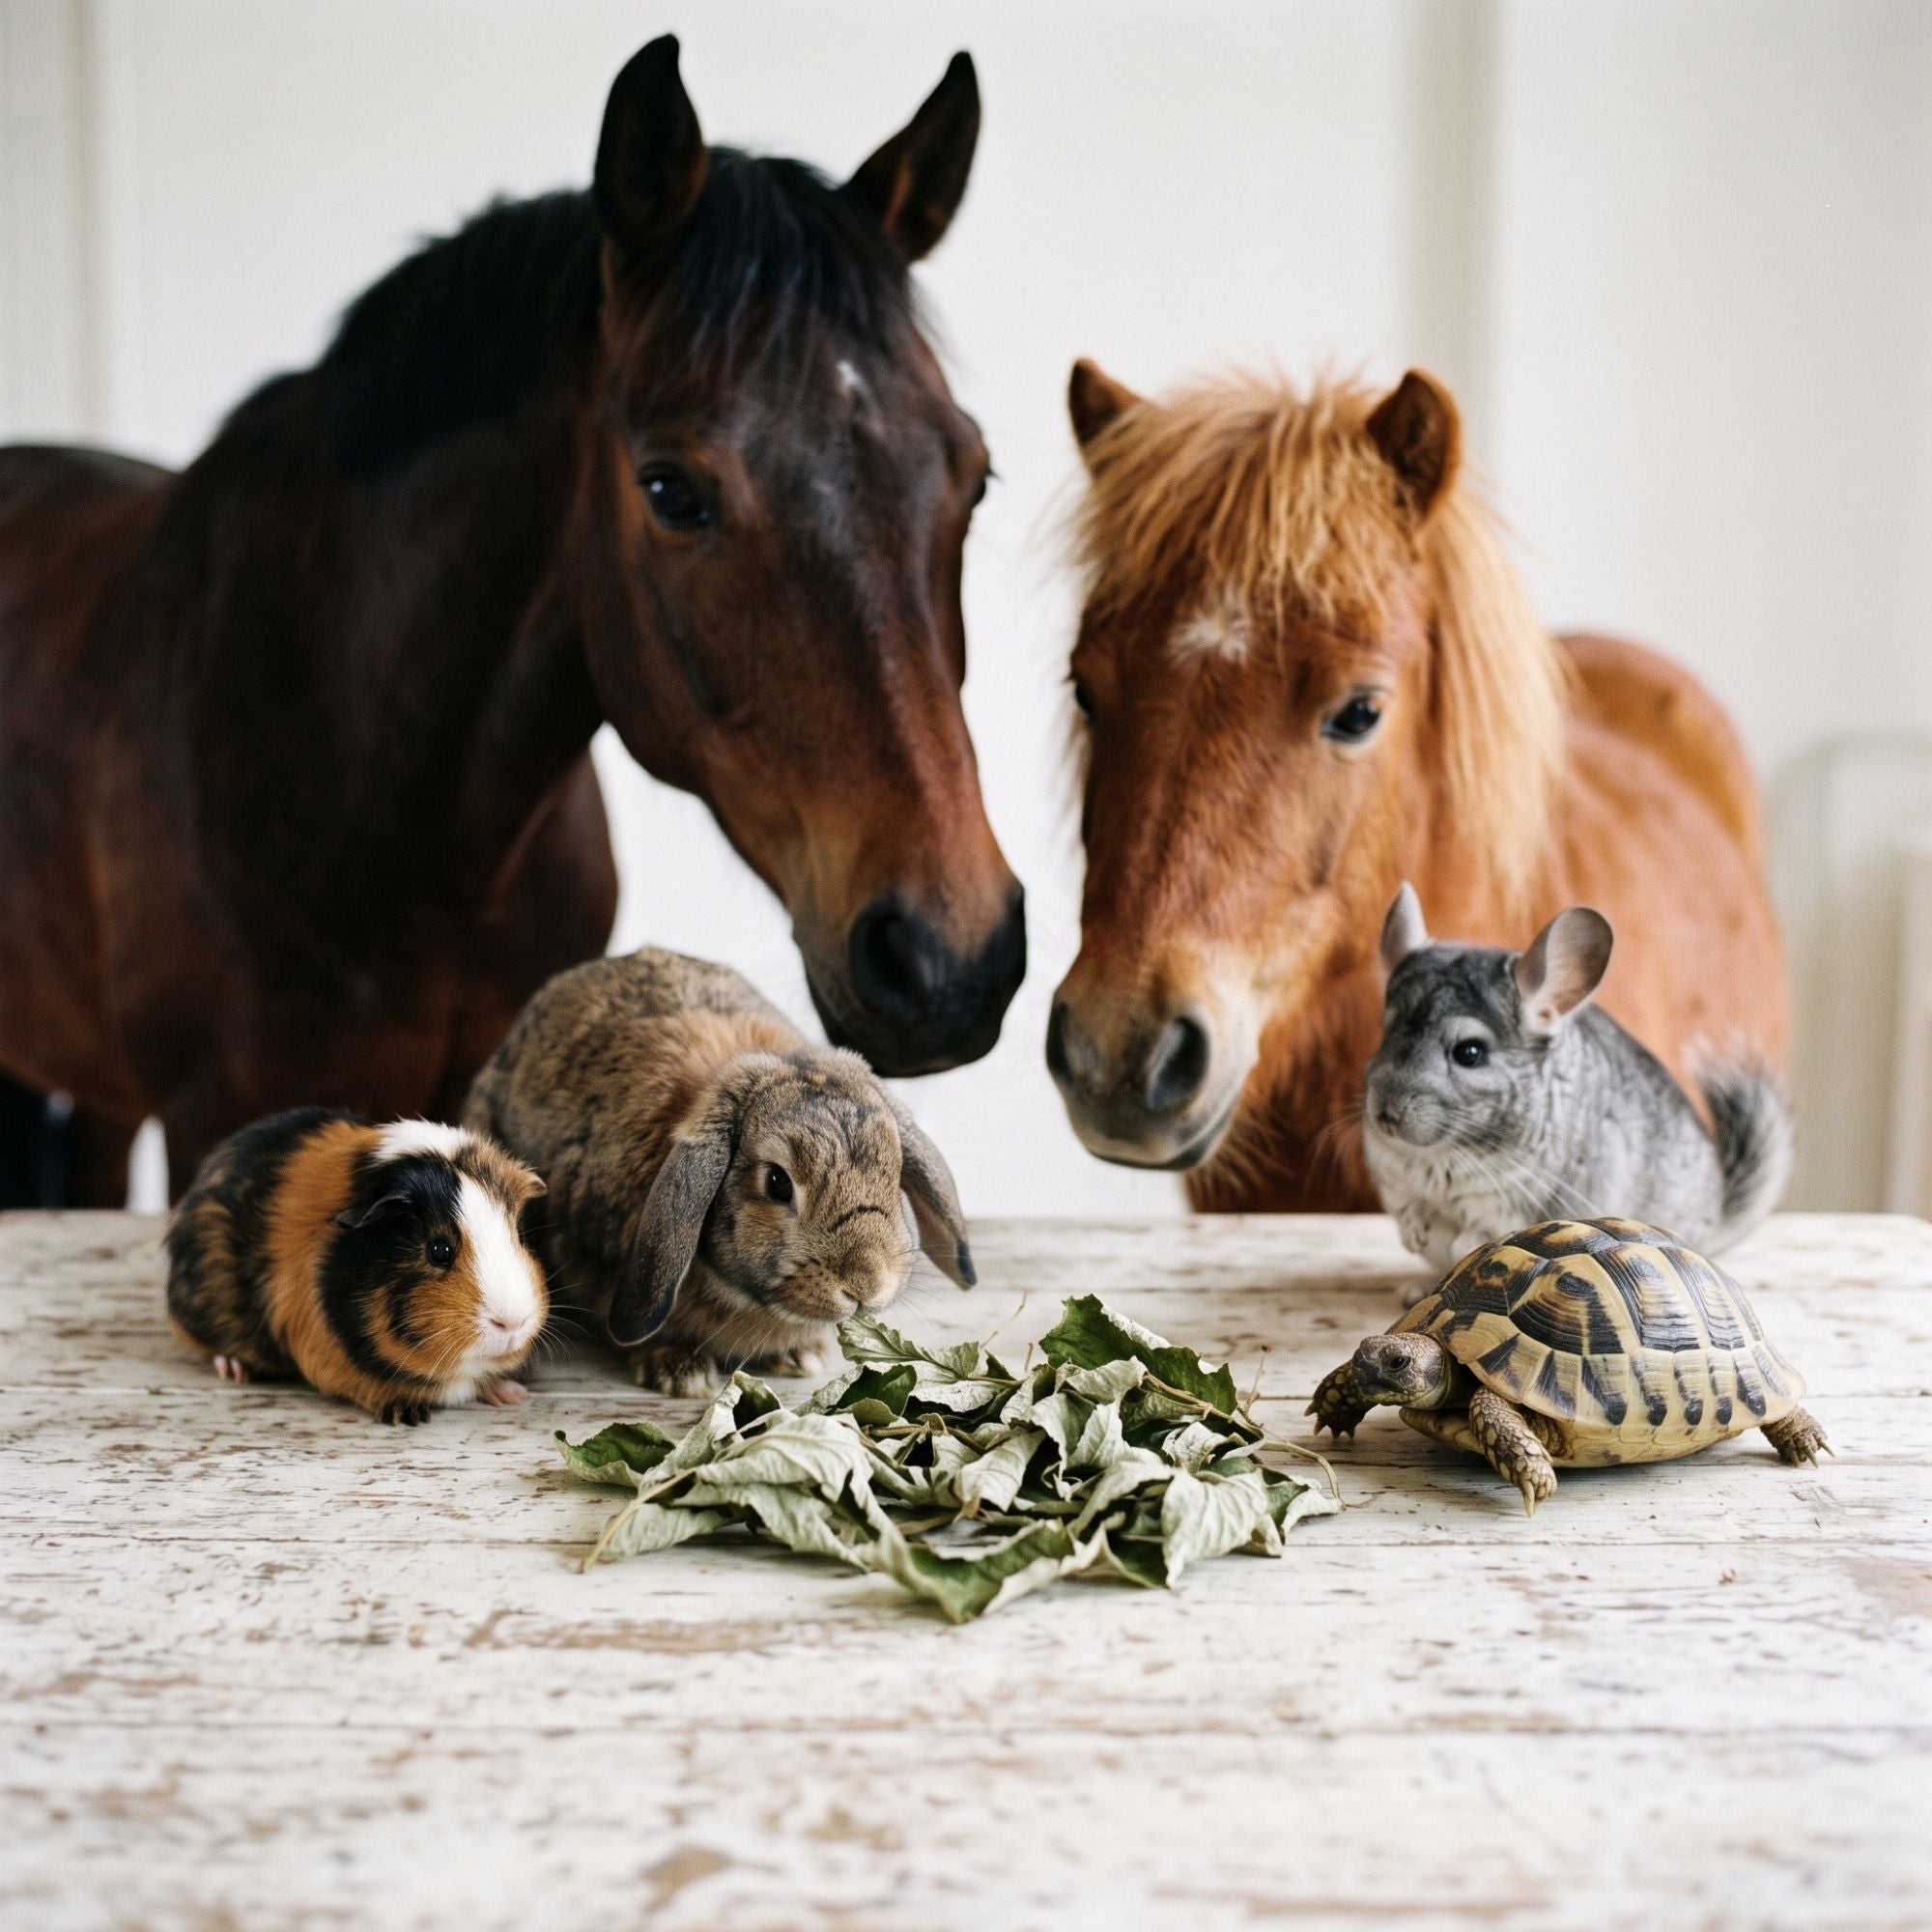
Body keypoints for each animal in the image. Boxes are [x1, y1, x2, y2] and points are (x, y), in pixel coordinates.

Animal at [166, 1108, 548, 1424]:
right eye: (439, 1250)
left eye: (518, 1236)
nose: (513, 1323)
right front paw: (407, 1413)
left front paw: (512, 1394)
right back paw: (235, 1369)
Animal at [1363, 884, 1792, 1274]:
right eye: (1386, 1033)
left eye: (1469, 1052)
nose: (1385, 1115)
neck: (1444, 1157)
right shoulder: (1395, 1183)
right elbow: (1410, 1209)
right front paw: (1414, 1233)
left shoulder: (1519, 1205)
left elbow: (1482, 1231)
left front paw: (1464, 1244)